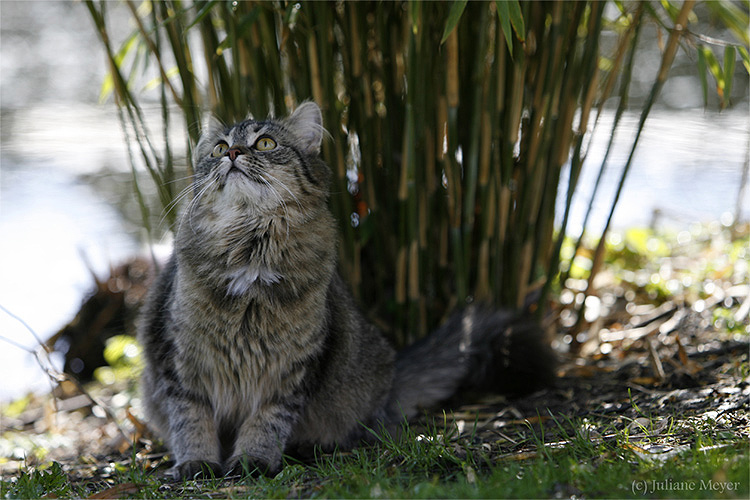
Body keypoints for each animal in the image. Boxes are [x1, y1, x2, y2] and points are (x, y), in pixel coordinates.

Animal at [138, 99, 556, 478]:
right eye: (219, 148)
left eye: (266, 144)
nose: (234, 153)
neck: (249, 252)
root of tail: (391, 377)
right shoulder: (180, 363)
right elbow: (192, 421)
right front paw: (197, 463)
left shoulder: (291, 370)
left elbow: (266, 422)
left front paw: (252, 460)